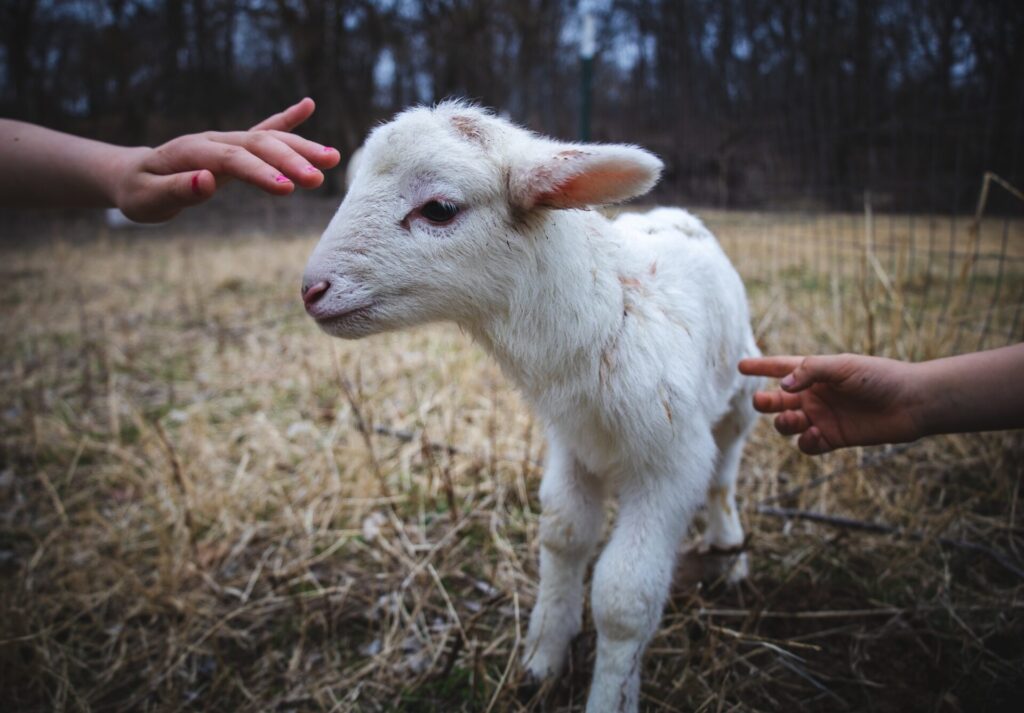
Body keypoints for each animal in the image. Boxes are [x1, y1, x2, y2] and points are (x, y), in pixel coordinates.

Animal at [301, 101, 760, 712]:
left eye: (439, 209)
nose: (311, 290)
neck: (607, 314)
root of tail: (679, 214)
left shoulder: (671, 464)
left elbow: (623, 599)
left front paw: (608, 695)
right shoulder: (573, 443)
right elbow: (562, 534)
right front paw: (543, 658)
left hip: (742, 388)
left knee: (725, 470)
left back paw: (729, 546)